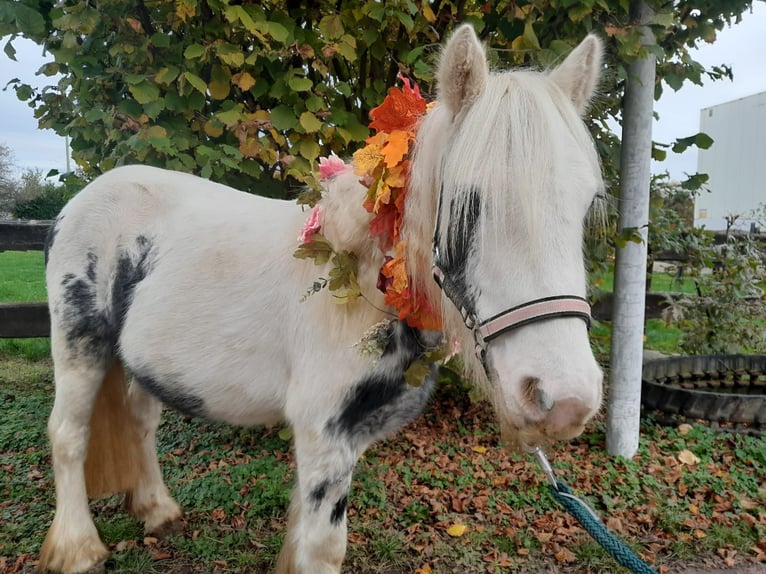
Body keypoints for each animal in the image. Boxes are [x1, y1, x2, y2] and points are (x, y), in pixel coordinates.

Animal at [40, 23, 608, 574]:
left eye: (587, 206)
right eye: (468, 202)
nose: (564, 400)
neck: (368, 285)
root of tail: (85, 199)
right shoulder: (324, 437)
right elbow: (323, 549)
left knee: (140, 421)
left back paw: (158, 511)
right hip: (79, 345)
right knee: (68, 433)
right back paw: (77, 548)